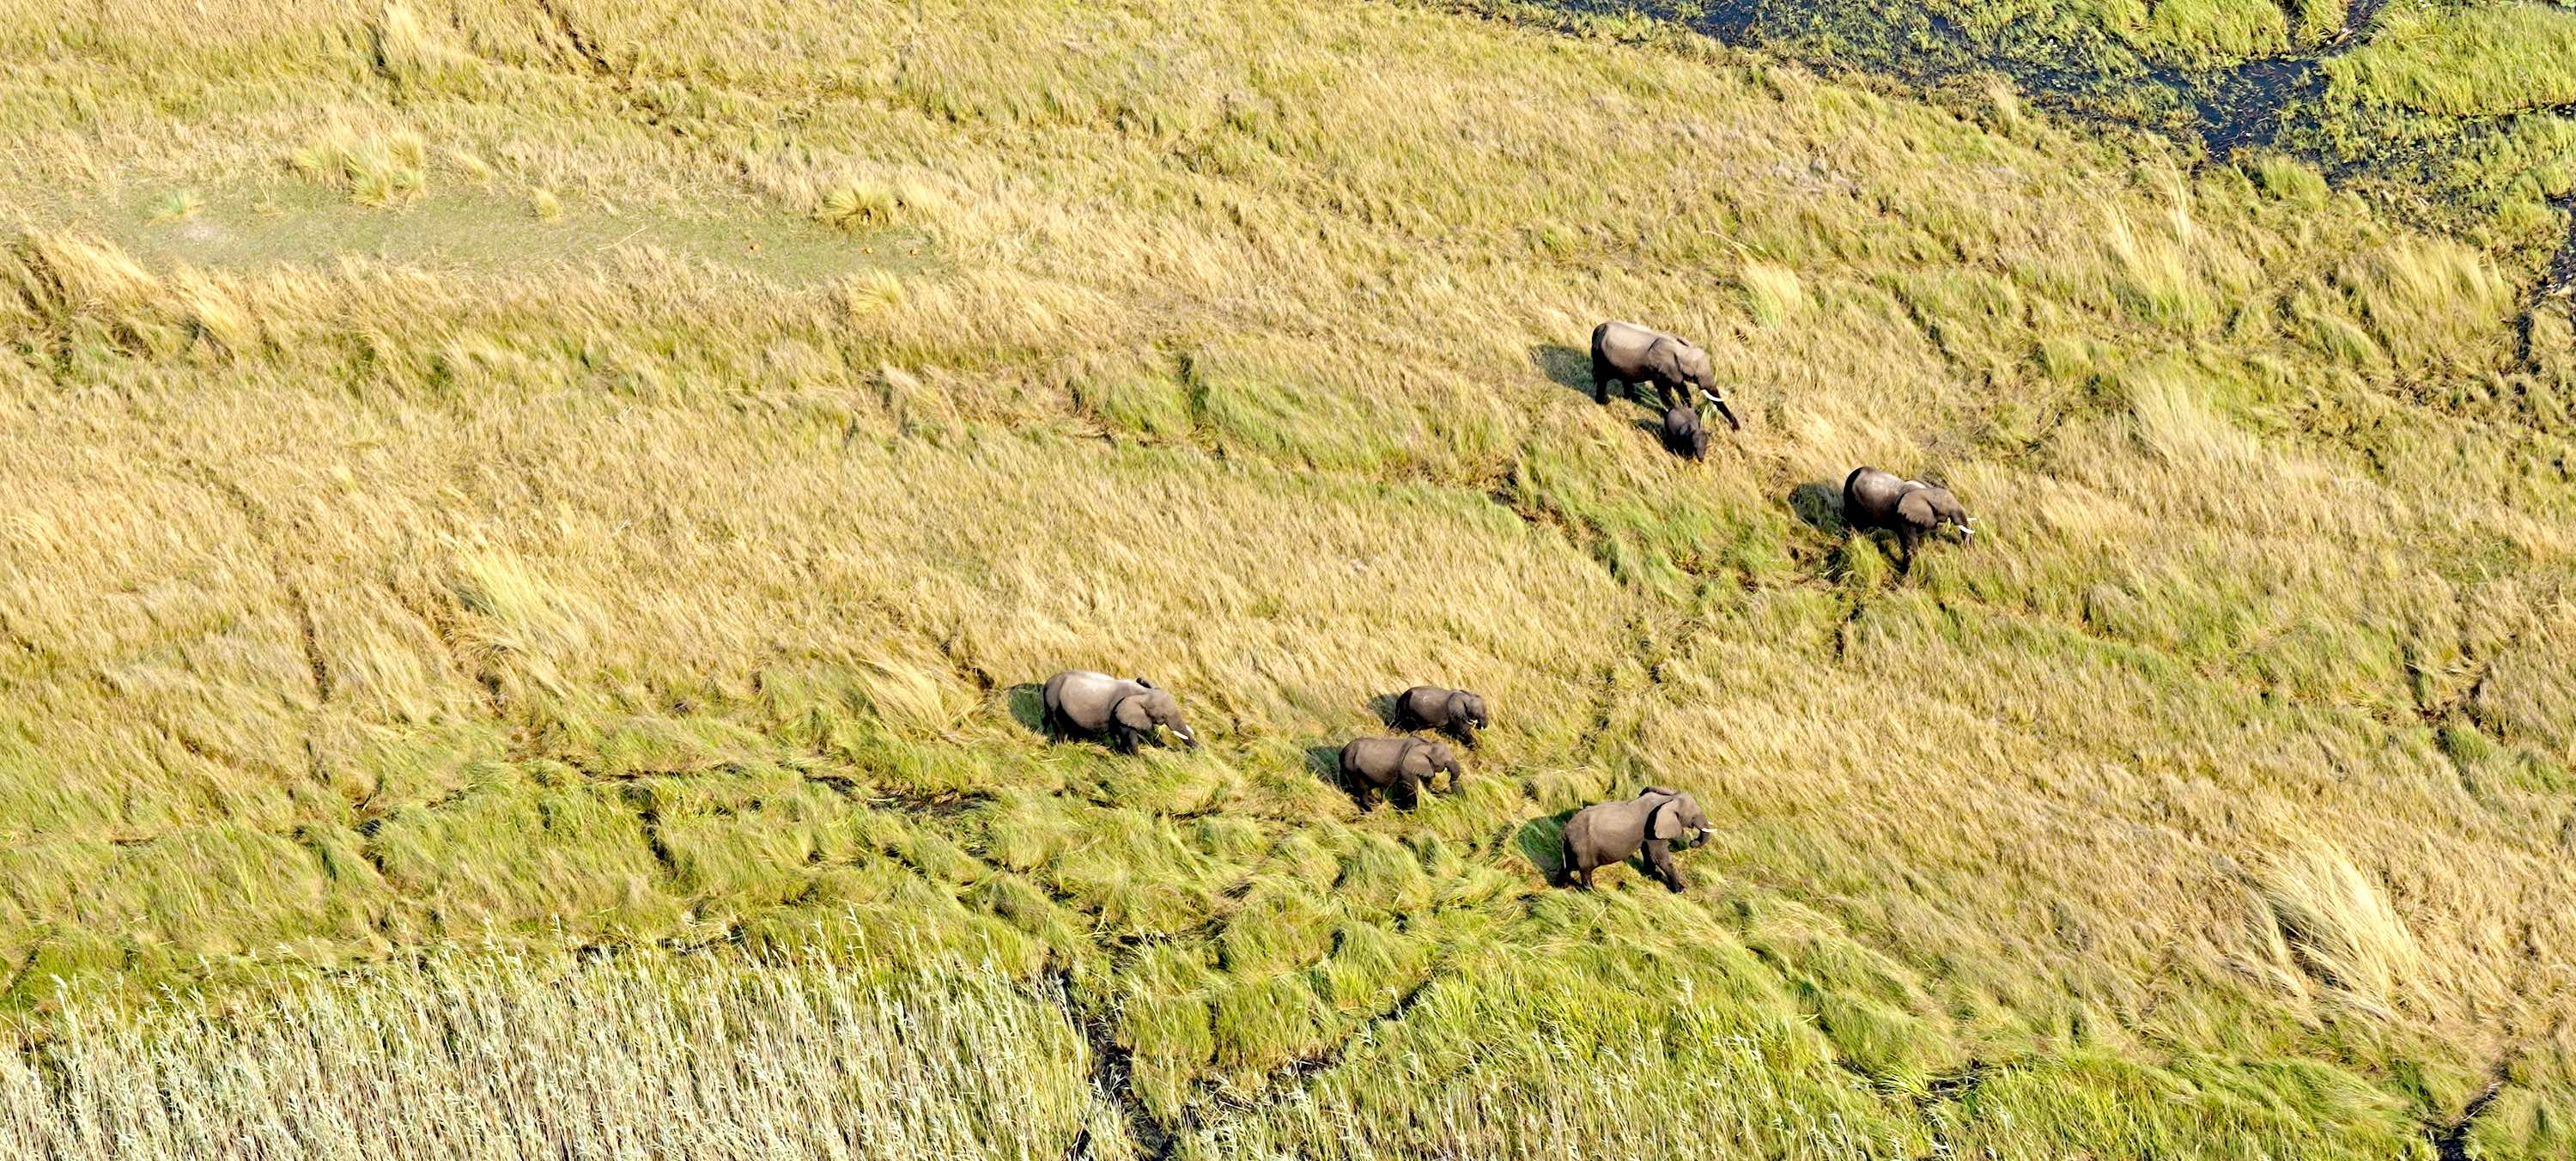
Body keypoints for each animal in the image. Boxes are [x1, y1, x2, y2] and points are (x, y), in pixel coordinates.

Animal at [1041, 670, 1198, 752]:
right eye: (1163, 716)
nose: (1199, 751)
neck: (1144, 693)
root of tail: (1047, 682)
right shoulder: (1120, 713)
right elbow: (1128, 735)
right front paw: (1136, 758)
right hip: (1053, 700)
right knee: (1058, 724)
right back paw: (1062, 747)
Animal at [1337, 736, 1462, 809]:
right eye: (1446, 762)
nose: (1446, 791)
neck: (1427, 744)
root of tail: (1342, 752)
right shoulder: (1406, 769)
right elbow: (1410, 789)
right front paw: (1412, 811)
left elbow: (1425, 784)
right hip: (1352, 769)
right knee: (1362, 789)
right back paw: (1370, 810)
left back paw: (1376, 804)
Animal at [1556, 786, 1714, 892]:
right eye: (1693, 817)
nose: (1692, 842)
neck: (1668, 799)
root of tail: (1565, 832)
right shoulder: (1653, 829)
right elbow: (1659, 857)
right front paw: (1681, 890)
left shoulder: (1648, 833)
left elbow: (1648, 854)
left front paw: (1652, 877)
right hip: (1583, 847)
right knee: (1585, 870)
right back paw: (1593, 892)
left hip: (1571, 847)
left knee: (1567, 866)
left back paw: (1561, 887)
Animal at [1590, 320, 1740, 430]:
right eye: (1694, 375)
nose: (1736, 428)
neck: (1682, 349)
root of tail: (1598, 329)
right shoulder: (1660, 368)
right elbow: (1667, 389)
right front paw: (1677, 410)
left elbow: (1676, 387)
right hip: (1601, 357)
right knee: (1603, 378)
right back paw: (1605, 403)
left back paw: (1633, 398)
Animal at [1842, 466, 1974, 568]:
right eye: (1944, 510)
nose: (1965, 552)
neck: (1927, 491)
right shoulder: (1903, 518)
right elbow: (1911, 545)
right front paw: (1905, 574)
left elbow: (1920, 538)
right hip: (1850, 499)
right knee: (1850, 522)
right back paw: (1850, 542)